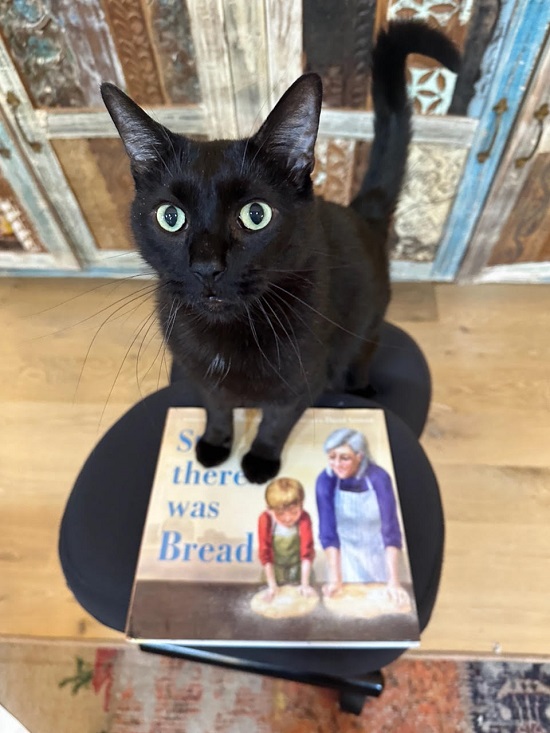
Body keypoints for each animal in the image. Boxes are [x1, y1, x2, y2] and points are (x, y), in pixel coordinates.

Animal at [102, 20, 462, 484]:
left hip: (368, 321)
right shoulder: (202, 377)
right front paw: (216, 444)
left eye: (255, 215)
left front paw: (259, 462)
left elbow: (275, 422)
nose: (206, 267)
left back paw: (361, 385)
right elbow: (216, 407)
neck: (229, 335)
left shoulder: (303, 379)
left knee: (364, 350)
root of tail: (360, 212)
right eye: (170, 216)